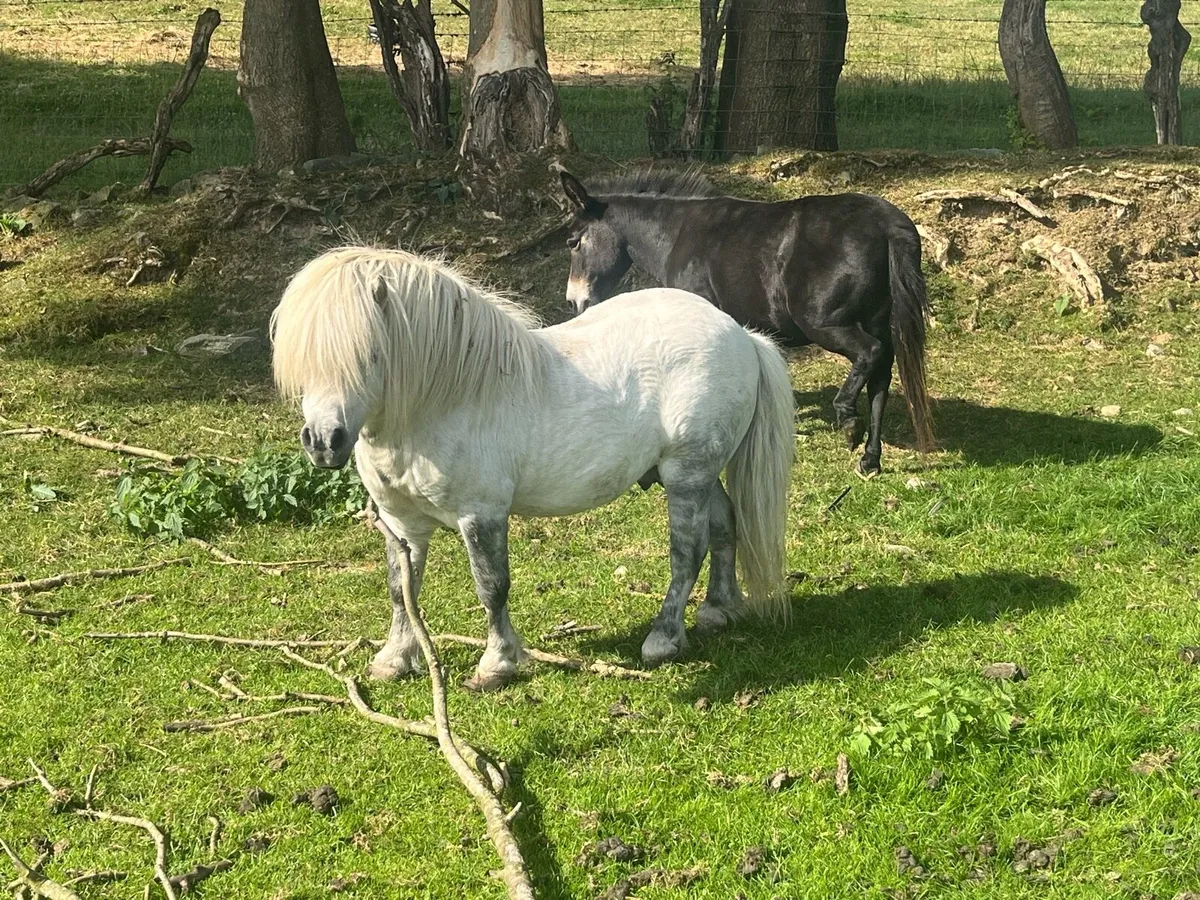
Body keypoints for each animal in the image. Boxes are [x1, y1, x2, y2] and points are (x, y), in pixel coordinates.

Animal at [270, 246, 795, 691]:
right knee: (726, 526)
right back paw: (717, 610)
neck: (447, 397)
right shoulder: (402, 524)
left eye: (369, 355)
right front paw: (394, 660)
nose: (324, 442)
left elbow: (492, 588)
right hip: (701, 475)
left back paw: (663, 638)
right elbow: (402, 590)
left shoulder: (481, 515)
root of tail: (740, 335)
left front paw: (496, 665)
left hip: (687, 476)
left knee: (687, 553)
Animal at [556, 169, 935, 478]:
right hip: (875, 321)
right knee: (880, 381)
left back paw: (848, 421)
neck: (677, 234)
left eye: (573, 242)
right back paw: (870, 459)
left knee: (870, 353)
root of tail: (887, 224)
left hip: (825, 323)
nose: (574, 302)